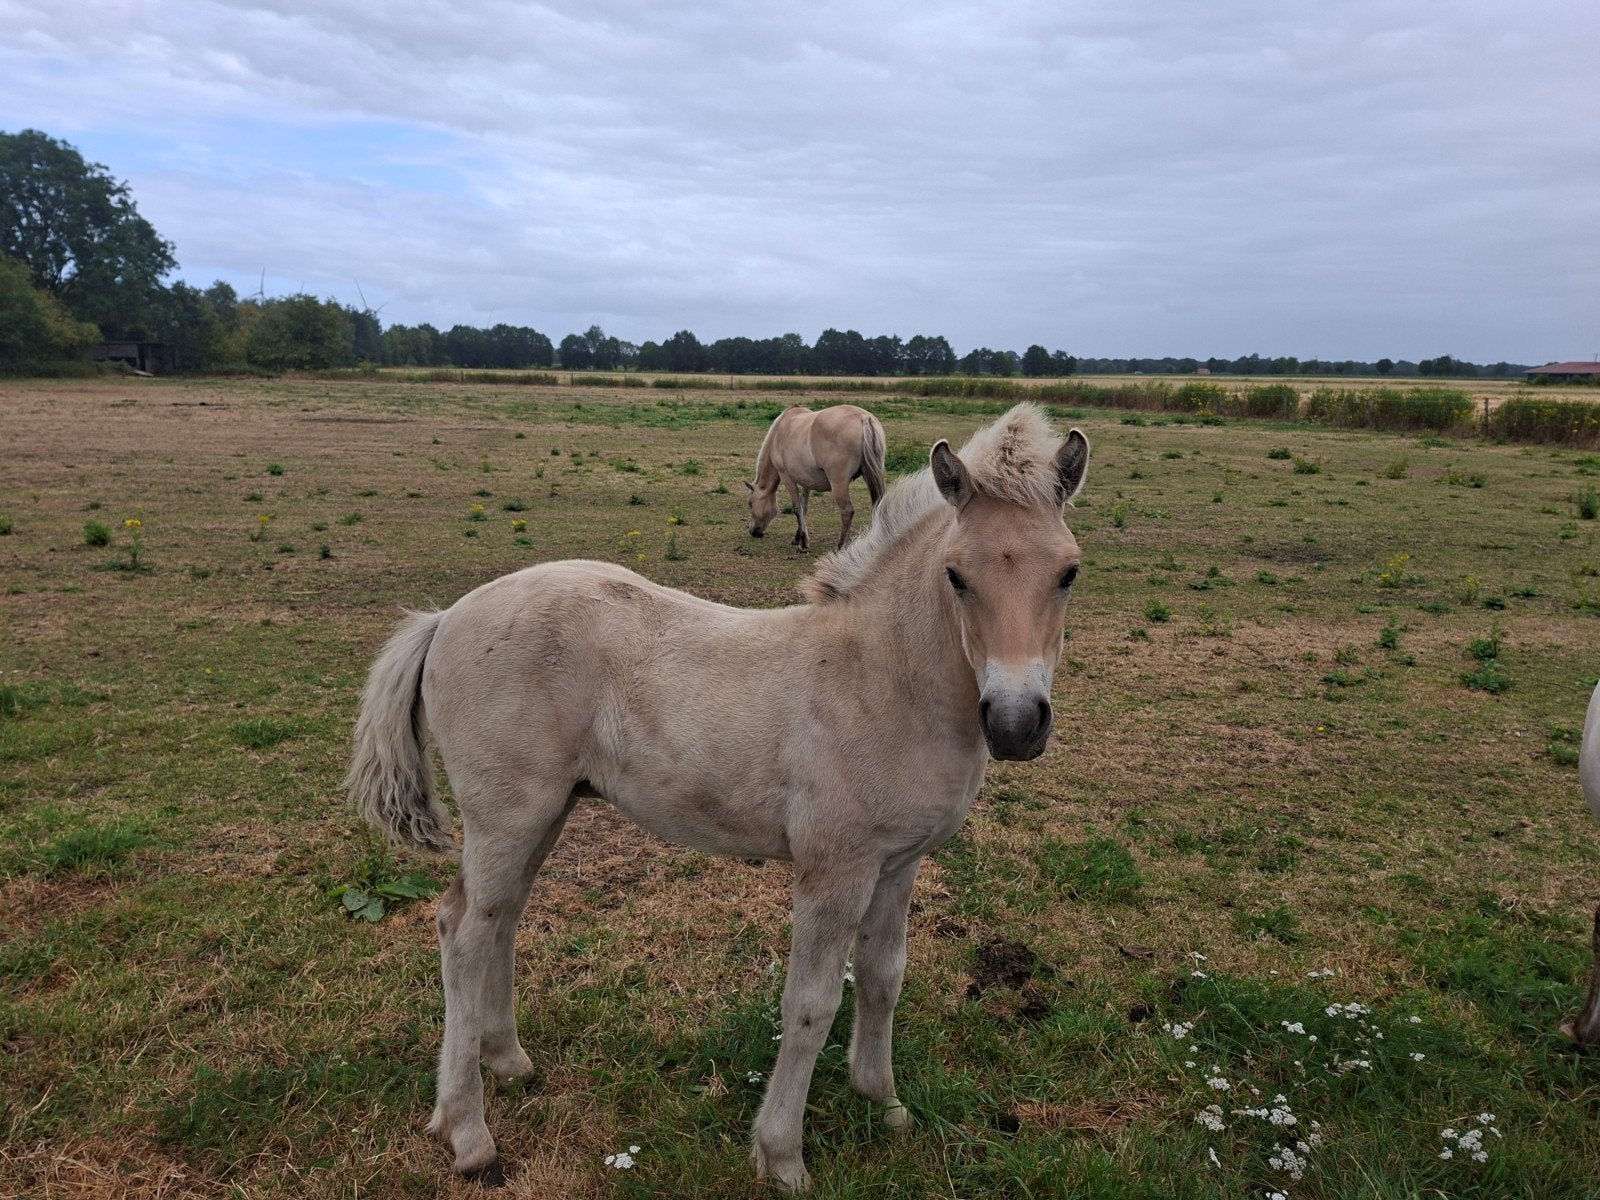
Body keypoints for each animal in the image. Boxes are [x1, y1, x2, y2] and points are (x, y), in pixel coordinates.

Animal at [746, 404, 887, 551]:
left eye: (750, 503)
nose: (753, 531)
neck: (779, 433)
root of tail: (864, 418)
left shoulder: (787, 478)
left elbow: (797, 508)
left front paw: (803, 542)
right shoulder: (806, 481)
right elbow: (804, 508)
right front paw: (799, 537)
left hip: (839, 484)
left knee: (847, 511)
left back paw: (841, 547)